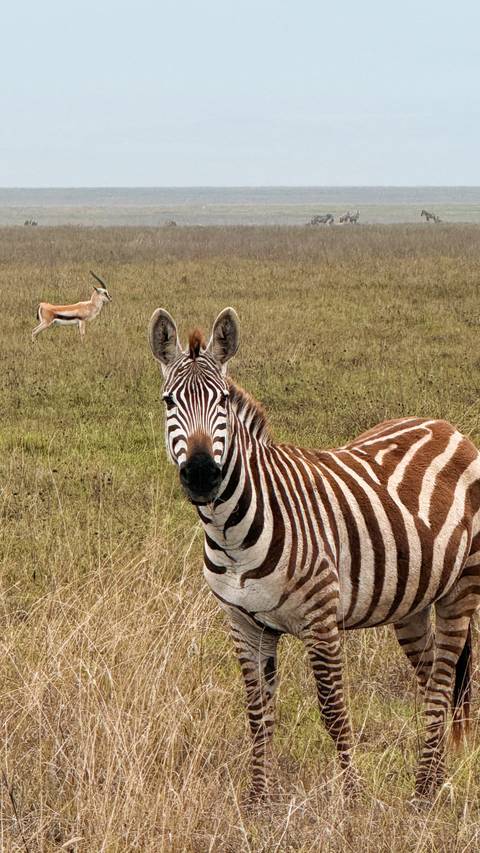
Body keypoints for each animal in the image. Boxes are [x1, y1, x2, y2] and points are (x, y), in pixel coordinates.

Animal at [149, 307, 480, 805]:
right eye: (170, 402)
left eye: (222, 401)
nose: (203, 474)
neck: (230, 532)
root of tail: (447, 427)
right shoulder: (244, 623)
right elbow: (258, 715)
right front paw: (258, 800)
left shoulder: (320, 617)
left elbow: (333, 709)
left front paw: (353, 799)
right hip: (413, 601)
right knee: (430, 684)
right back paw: (433, 783)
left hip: (461, 588)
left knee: (443, 685)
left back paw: (423, 791)